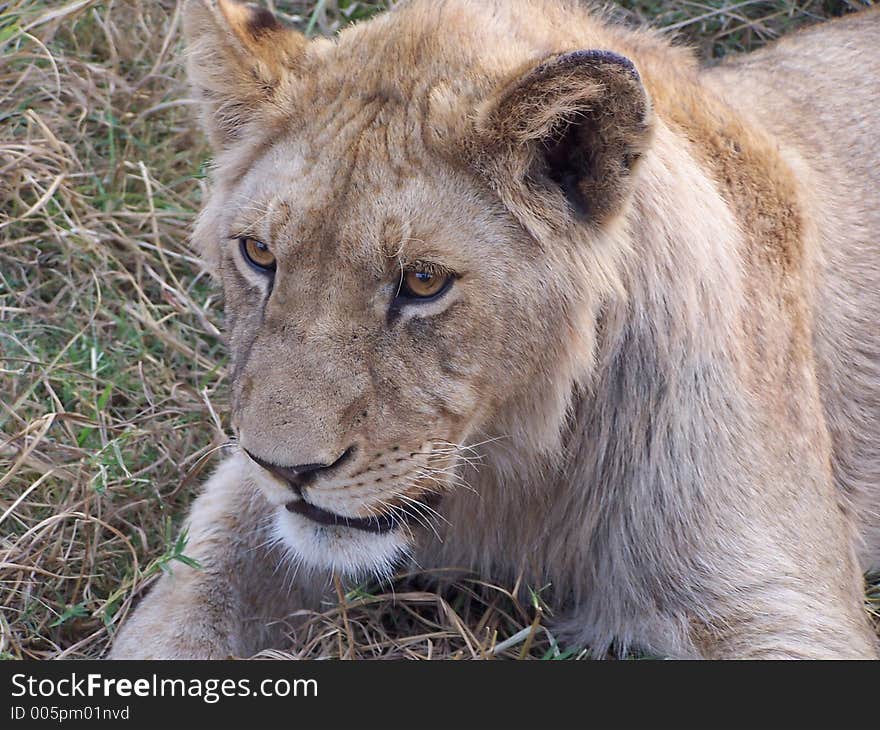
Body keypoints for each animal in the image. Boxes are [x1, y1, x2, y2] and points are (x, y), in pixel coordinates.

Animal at [110, 0, 880, 656]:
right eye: (259, 254)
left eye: (423, 282)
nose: (288, 470)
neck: (518, 465)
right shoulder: (237, 517)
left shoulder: (778, 600)